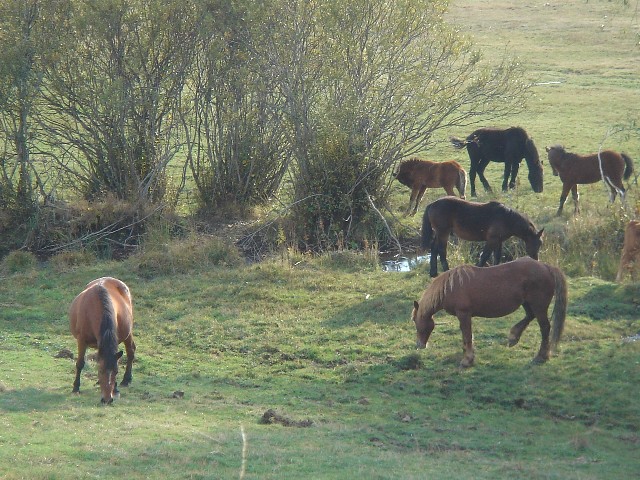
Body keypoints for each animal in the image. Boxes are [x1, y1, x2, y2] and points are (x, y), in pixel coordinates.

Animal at [411, 257, 567, 367]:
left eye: (415, 321)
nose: (419, 345)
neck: (450, 287)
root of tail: (547, 267)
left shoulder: (464, 314)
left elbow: (467, 336)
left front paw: (467, 360)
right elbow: (467, 337)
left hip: (538, 306)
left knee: (545, 328)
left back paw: (541, 356)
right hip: (528, 304)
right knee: (530, 316)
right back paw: (513, 337)